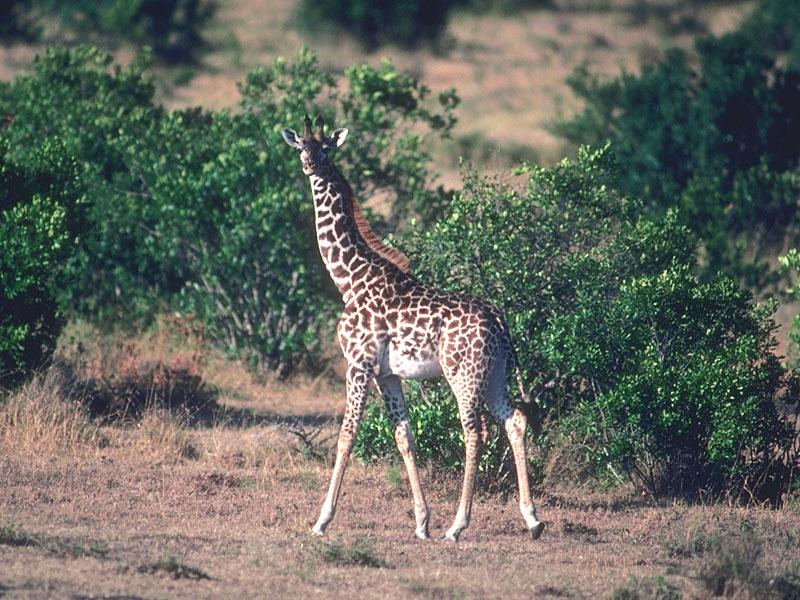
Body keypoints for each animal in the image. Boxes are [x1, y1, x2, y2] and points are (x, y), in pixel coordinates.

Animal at [282, 115, 544, 540]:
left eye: (325, 149)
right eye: (301, 147)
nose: (309, 165)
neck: (349, 278)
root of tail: (500, 321)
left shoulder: (358, 364)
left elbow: (346, 435)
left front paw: (322, 520)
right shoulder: (386, 374)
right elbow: (404, 437)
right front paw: (421, 522)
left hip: (463, 374)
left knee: (475, 432)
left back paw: (458, 525)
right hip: (494, 375)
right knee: (515, 421)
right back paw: (532, 519)